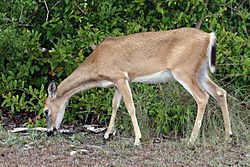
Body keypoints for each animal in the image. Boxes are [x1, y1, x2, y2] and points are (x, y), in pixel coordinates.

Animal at [43, 27, 232, 145]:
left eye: (45, 111)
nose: (49, 132)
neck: (96, 64)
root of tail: (209, 36)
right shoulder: (118, 81)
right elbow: (115, 105)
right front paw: (107, 135)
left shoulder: (120, 77)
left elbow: (129, 107)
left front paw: (137, 139)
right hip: (200, 72)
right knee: (220, 92)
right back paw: (228, 135)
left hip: (184, 71)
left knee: (203, 97)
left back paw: (192, 139)